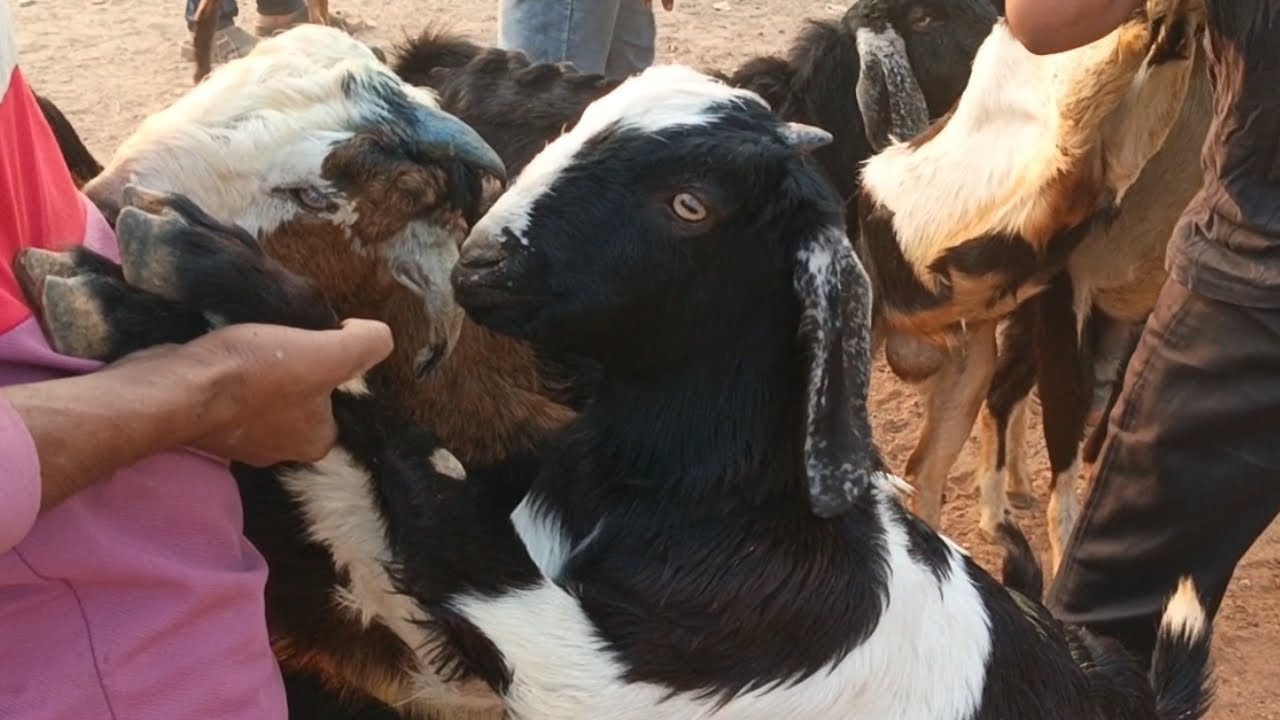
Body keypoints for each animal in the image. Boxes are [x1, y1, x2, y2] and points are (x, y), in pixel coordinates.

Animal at [19, 64, 1215, 720]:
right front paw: (124, 298)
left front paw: (173, 267)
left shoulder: (560, 658)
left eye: (689, 203)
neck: (715, 513)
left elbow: (387, 439)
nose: (484, 261)